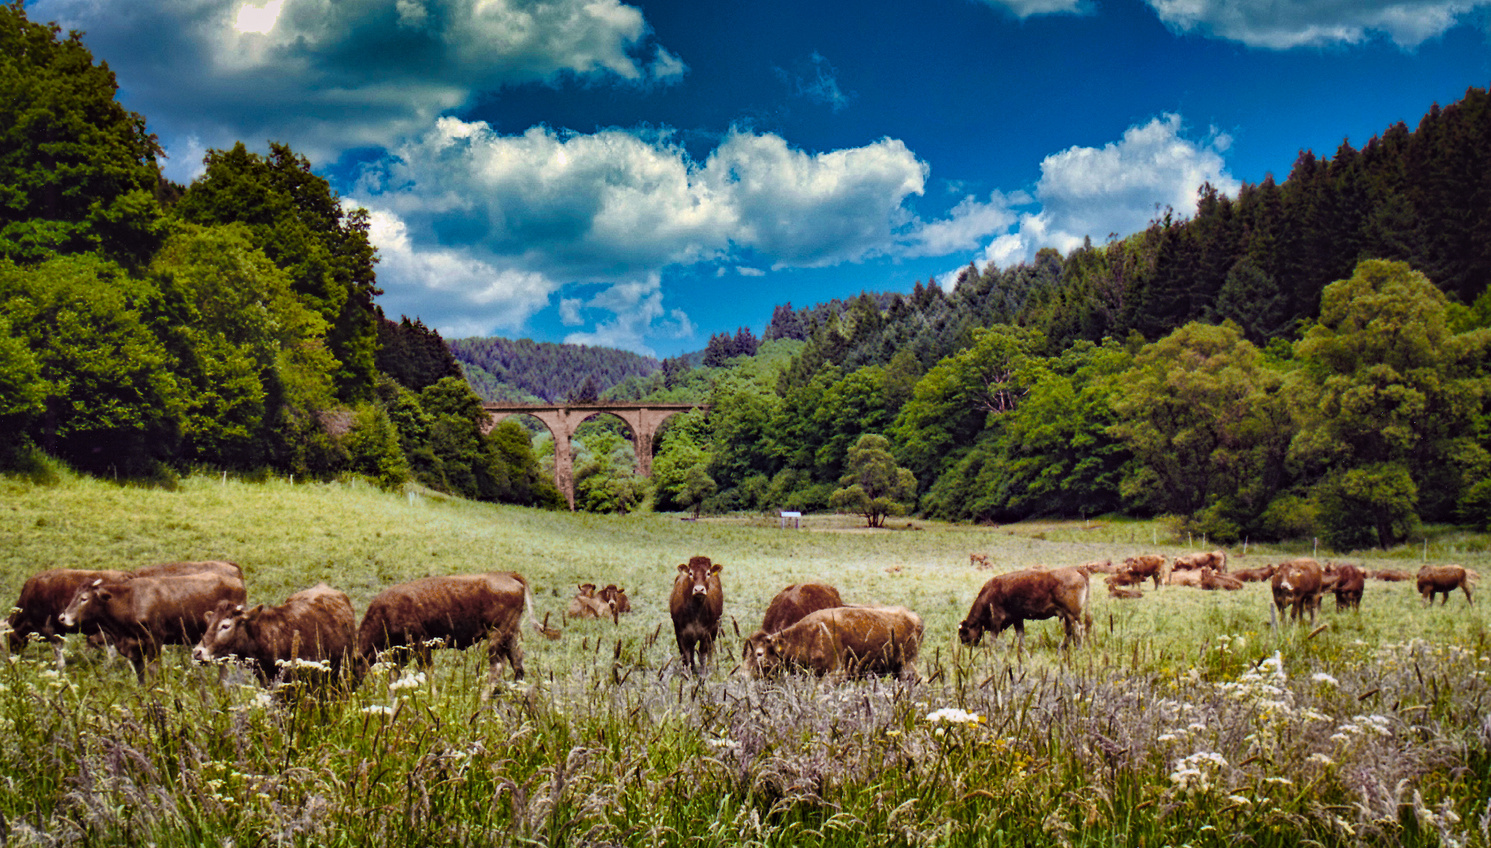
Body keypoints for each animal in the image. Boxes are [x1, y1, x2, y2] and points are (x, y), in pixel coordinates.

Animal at [59, 566, 246, 676]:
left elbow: (153, 669)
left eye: (84, 598)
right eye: (74, 595)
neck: (130, 601)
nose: (63, 617)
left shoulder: (154, 639)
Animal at [354, 569, 542, 694]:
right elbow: (395, 674)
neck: (384, 611)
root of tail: (506, 574)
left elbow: (426, 672)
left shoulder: (420, 645)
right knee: (517, 660)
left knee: (497, 666)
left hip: (497, 634)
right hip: (510, 634)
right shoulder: (402, 652)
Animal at [960, 569, 1091, 655]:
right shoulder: (1017, 619)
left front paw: (991, 650)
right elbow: (1020, 635)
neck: (989, 593)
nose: (964, 646)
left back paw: (1078, 649)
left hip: (1072, 614)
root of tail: (1077, 572)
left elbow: (993, 637)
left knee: (1078, 629)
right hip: (1068, 616)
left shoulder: (997, 618)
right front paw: (1022, 650)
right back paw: (1062, 649)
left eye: (963, 633)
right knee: (1069, 632)